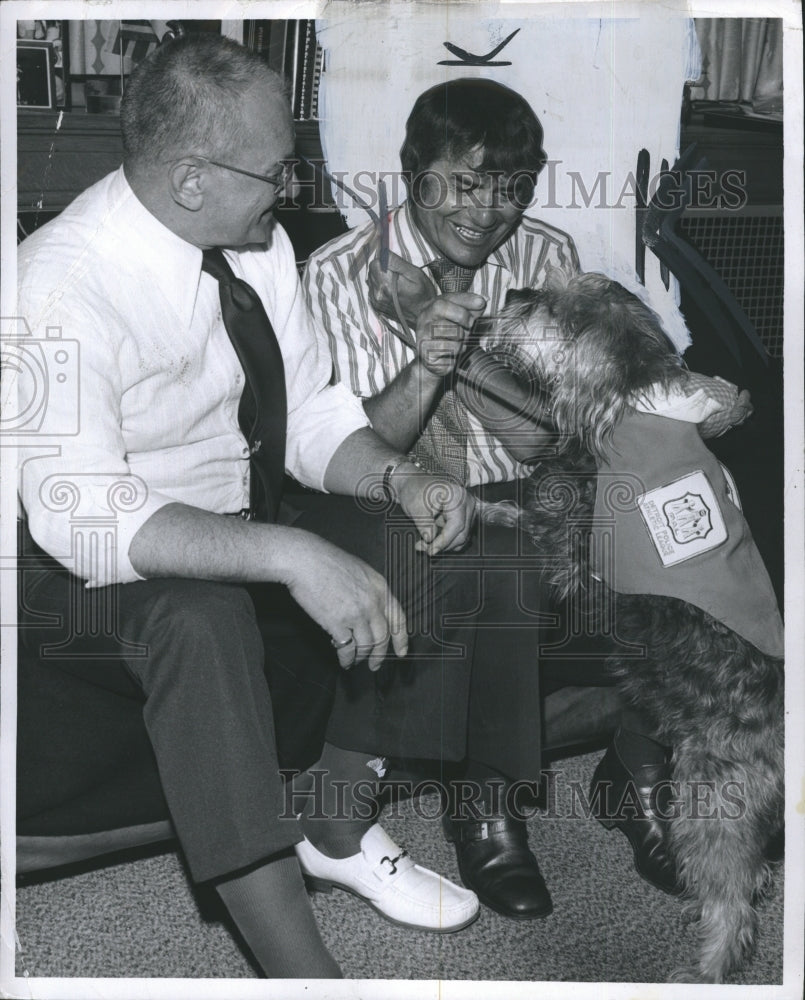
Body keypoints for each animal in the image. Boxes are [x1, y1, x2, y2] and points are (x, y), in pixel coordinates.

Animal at [480, 274, 784, 984]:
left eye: (548, 308)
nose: (513, 291)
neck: (631, 401)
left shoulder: (568, 550)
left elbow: (530, 526)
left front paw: (488, 509)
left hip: (709, 801)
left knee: (736, 900)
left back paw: (705, 969)